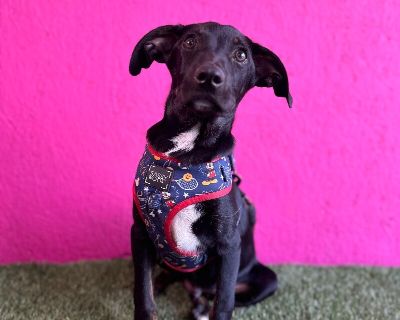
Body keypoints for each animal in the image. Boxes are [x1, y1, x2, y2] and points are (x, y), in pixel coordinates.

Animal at [130, 22, 292, 320]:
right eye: (189, 42)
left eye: (241, 55)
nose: (209, 77)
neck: (187, 152)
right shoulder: (140, 232)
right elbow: (143, 294)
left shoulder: (229, 245)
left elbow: (224, 302)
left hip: (265, 279)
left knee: (216, 295)